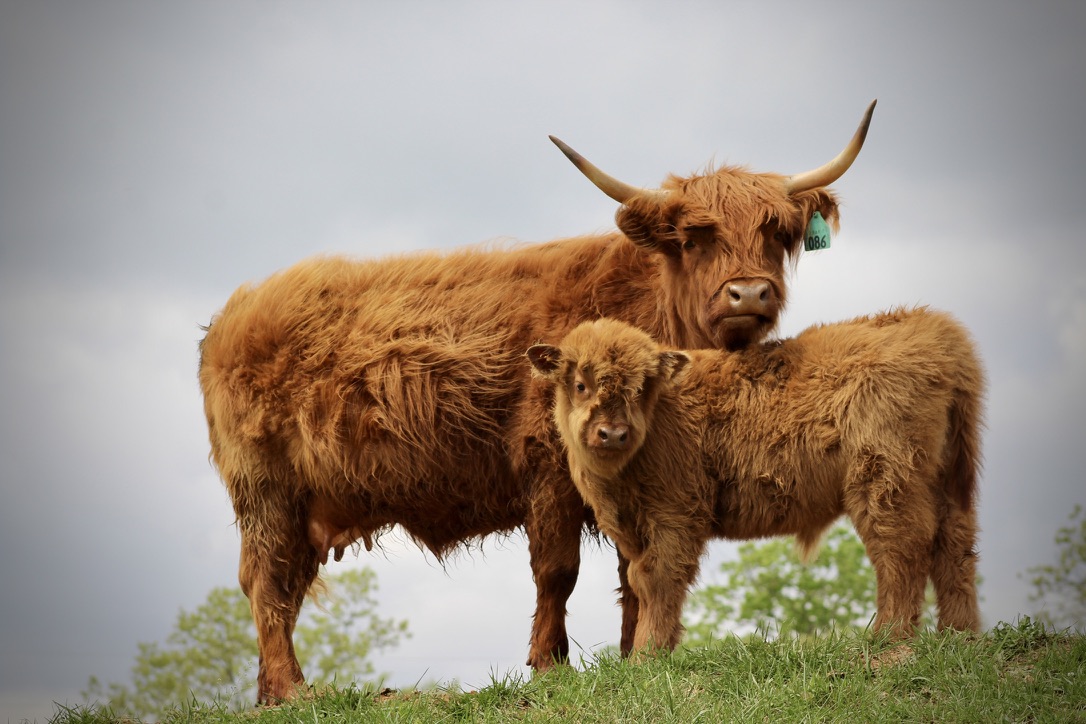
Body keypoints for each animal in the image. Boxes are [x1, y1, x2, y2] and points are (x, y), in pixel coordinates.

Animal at [198, 102, 875, 703]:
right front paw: (551, 666)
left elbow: (636, 570)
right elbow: (558, 570)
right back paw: (292, 691)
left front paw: (634, 659)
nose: (749, 293)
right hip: (265, 490)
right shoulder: (549, 468)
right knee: (265, 582)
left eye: (778, 233)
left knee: (284, 585)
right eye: (694, 237)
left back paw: (273, 692)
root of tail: (237, 311)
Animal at [528, 310, 984, 654]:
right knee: (954, 544)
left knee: (901, 546)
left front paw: (648, 656)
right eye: (579, 384)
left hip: (885, 478)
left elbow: (660, 580)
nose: (612, 434)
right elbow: (640, 580)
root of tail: (933, 329)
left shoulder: (676, 516)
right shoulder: (633, 529)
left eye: (642, 388)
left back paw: (889, 638)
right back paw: (960, 636)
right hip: (946, 480)